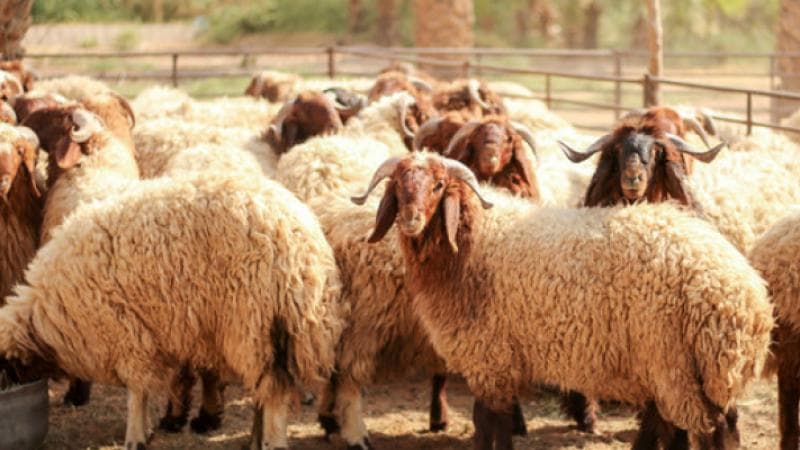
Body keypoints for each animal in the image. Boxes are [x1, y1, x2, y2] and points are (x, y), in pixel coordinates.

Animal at [0, 172, 346, 450]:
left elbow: (136, 392)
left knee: (273, 393)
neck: (46, 315)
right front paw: (147, 430)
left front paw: (135, 436)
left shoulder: (127, 333)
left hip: (253, 323)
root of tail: (305, 246)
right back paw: (254, 440)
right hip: (268, 331)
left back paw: (271, 442)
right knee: (266, 387)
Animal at [353, 152, 773, 450]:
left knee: (706, 430)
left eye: (439, 185)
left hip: (675, 363)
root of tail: (745, 298)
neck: (470, 244)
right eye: (397, 184)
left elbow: (491, 424)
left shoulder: (489, 355)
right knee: (699, 426)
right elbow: (492, 423)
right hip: (696, 370)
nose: (409, 220)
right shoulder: (496, 361)